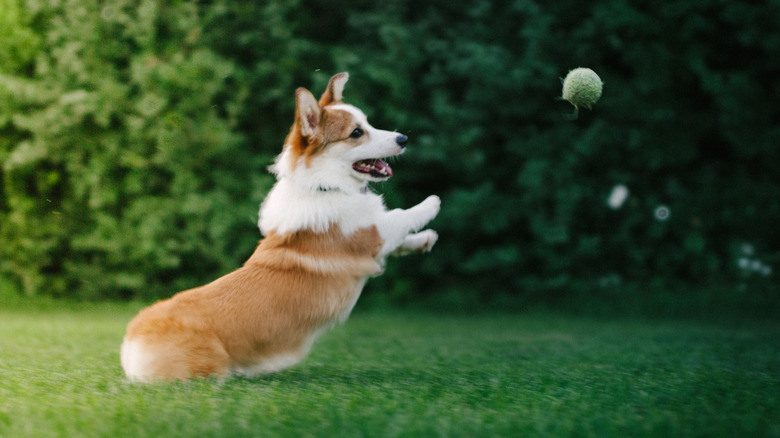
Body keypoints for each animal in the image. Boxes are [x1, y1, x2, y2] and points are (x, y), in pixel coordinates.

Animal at [119, 72, 442, 380]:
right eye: (356, 133)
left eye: (368, 123)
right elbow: (400, 216)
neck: (324, 186)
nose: (403, 139)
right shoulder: (371, 234)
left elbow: (403, 238)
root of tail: (130, 346)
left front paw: (425, 240)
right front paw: (432, 202)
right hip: (209, 368)